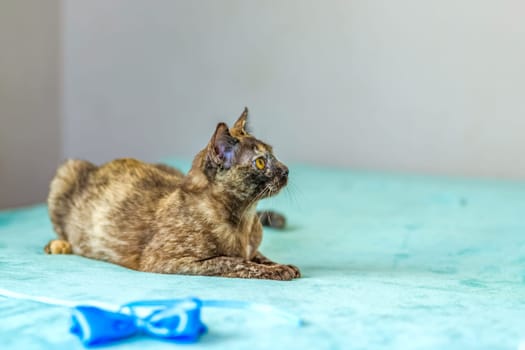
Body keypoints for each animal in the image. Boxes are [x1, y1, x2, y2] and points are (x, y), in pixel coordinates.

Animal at [45, 109, 298, 282]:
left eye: (273, 154)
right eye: (260, 162)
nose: (286, 170)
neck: (245, 218)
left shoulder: (252, 248)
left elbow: (257, 256)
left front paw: (281, 265)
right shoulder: (170, 262)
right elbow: (233, 261)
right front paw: (277, 270)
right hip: (66, 170)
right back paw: (59, 245)